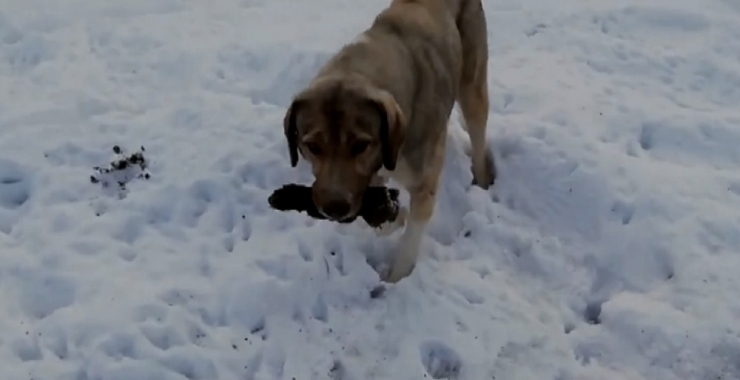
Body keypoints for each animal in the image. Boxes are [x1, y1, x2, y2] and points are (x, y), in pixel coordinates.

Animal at [286, 0, 494, 284]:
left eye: (361, 145)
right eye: (313, 147)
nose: (335, 209)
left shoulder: (422, 184)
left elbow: (410, 238)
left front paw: (396, 279)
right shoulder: (369, 178)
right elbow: (378, 217)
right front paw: (396, 216)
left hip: (472, 84)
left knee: (477, 129)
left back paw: (482, 180)